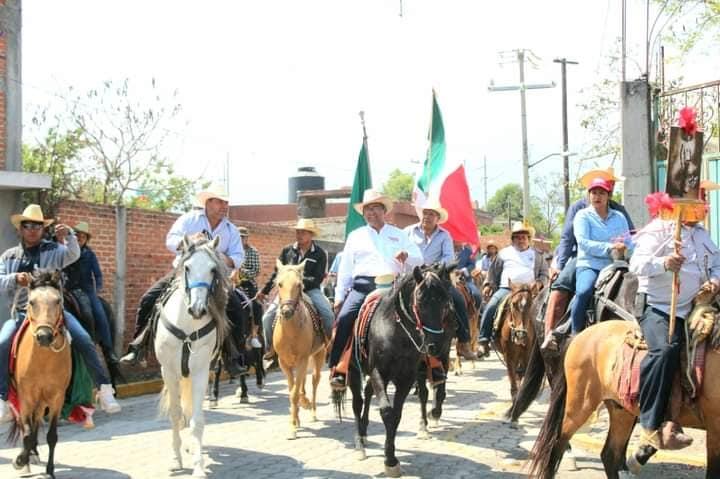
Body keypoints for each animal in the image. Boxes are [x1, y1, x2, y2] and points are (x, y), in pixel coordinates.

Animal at [9, 272, 71, 478]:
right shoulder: (26, 396)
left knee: (36, 421)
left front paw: (50, 471)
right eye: (31, 301)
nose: (44, 336)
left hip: (42, 400)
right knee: (25, 425)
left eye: (58, 300)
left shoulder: (57, 398)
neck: (43, 362)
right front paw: (20, 461)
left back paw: (34, 452)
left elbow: (52, 436)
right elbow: (26, 433)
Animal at [157, 237, 231, 479]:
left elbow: (197, 419)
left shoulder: (200, 371)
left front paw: (198, 466)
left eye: (213, 269)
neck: (187, 327)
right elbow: (174, 414)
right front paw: (176, 459)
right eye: (187, 267)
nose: (197, 309)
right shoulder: (168, 372)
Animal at [272, 260, 326, 440]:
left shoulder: (303, 358)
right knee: (301, 381)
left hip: (320, 354)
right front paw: (295, 422)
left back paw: (313, 411)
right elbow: (291, 390)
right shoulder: (283, 362)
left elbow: (294, 393)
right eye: (279, 284)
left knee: (314, 380)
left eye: (299, 285)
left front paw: (293, 427)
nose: (287, 311)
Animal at [524, 318, 720, 479]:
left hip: (622, 411)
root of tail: (581, 335)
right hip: (579, 406)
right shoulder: (714, 427)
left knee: (610, 455)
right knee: (556, 446)